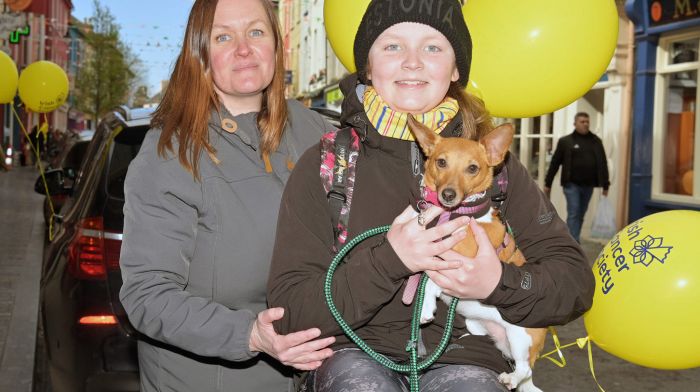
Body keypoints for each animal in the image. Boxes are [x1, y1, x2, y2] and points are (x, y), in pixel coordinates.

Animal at [412, 118, 548, 392]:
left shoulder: (461, 261)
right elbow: (425, 277)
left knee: (524, 368)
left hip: (521, 337)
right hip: (479, 326)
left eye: (472, 168)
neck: (457, 215)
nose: (448, 195)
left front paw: (426, 307)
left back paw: (510, 378)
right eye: (441, 162)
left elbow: (431, 279)